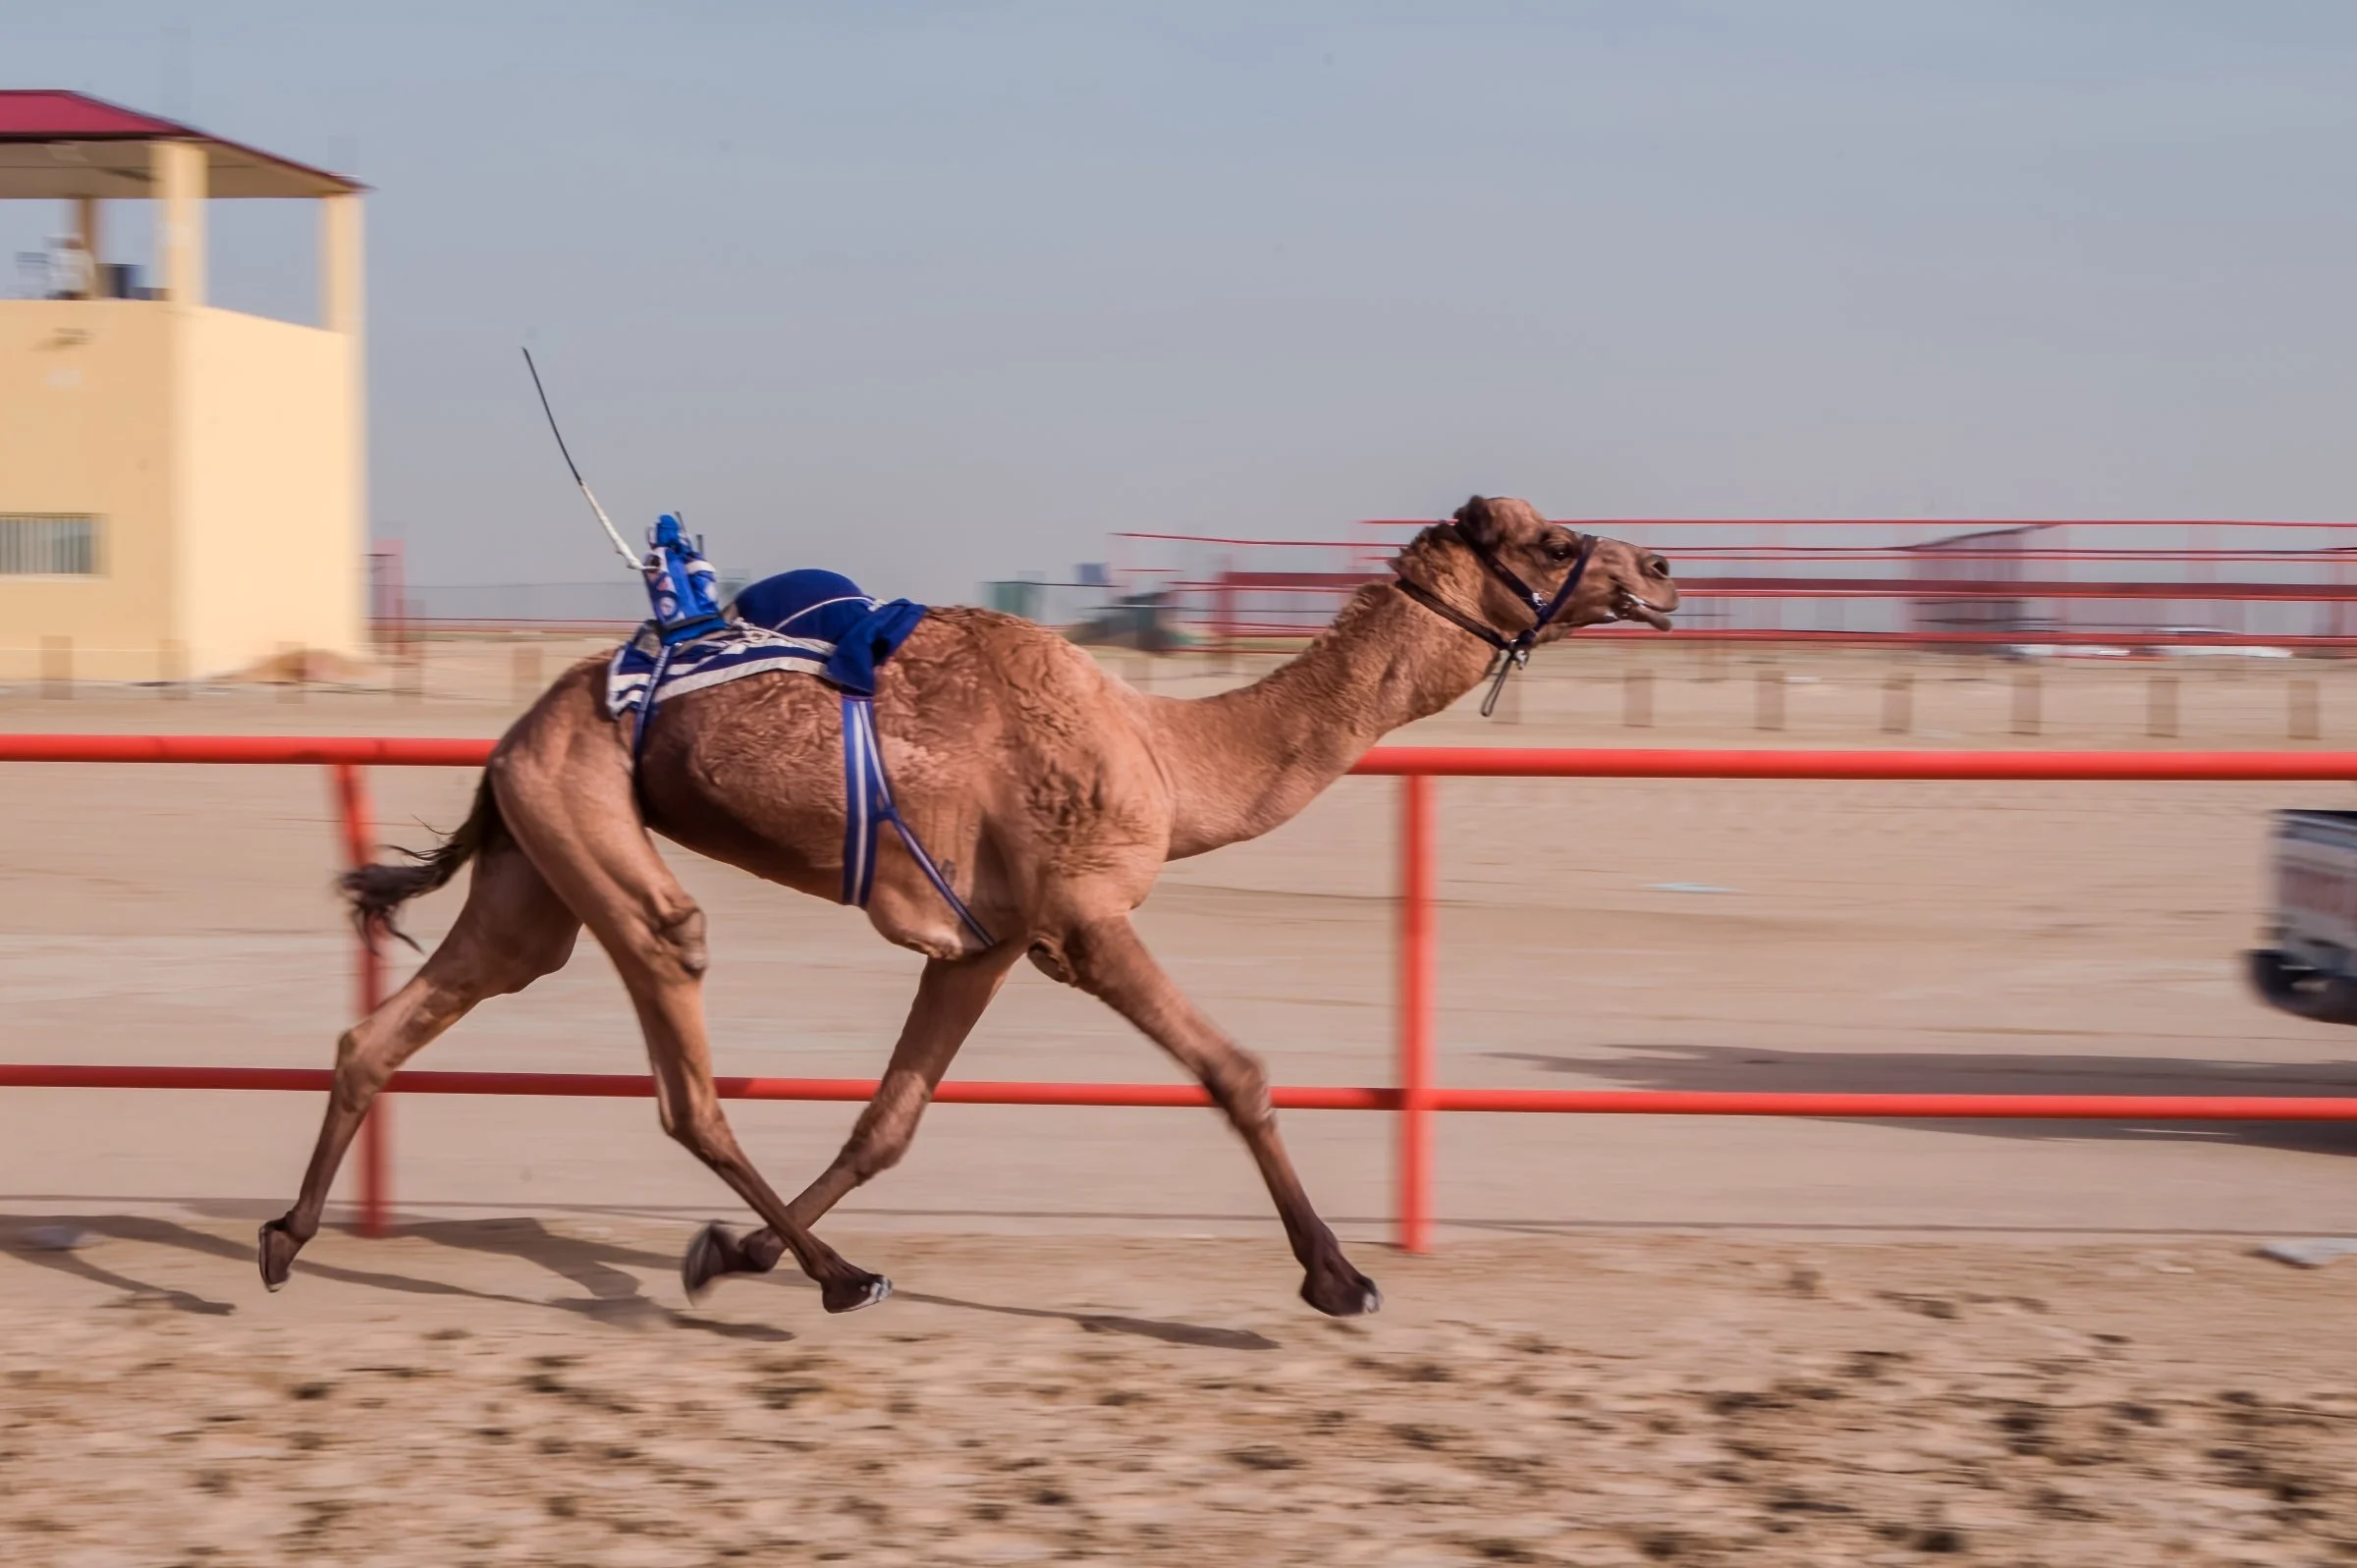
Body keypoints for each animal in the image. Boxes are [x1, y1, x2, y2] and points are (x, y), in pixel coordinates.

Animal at [257, 497, 1676, 1316]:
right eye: (1554, 543)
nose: (1661, 567)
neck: (1168, 754)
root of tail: (516, 730)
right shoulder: (1086, 922)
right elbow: (1238, 1071)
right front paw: (1337, 1276)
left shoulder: (989, 945)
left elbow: (890, 1121)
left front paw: (740, 1253)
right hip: (592, 825)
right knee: (682, 1052)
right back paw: (838, 1278)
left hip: (534, 865)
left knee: (398, 1023)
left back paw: (283, 1238)